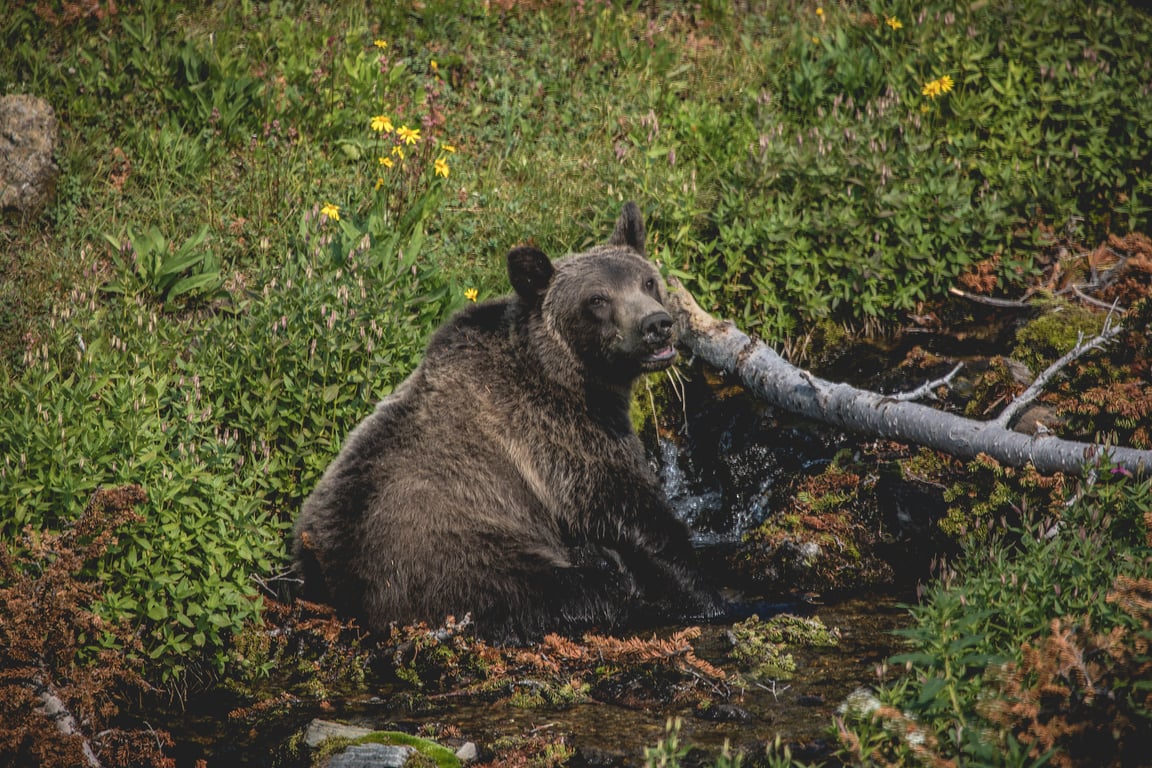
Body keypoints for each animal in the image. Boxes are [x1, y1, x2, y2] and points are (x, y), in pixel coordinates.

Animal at [297, 201, 728, 640]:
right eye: (597, 299)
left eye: (647, 281)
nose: (657, 325)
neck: (574, 378)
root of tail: (338, 582)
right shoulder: (559, 435)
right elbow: (628, 506)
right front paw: (708, 596)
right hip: (460, 551)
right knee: (563, 591)